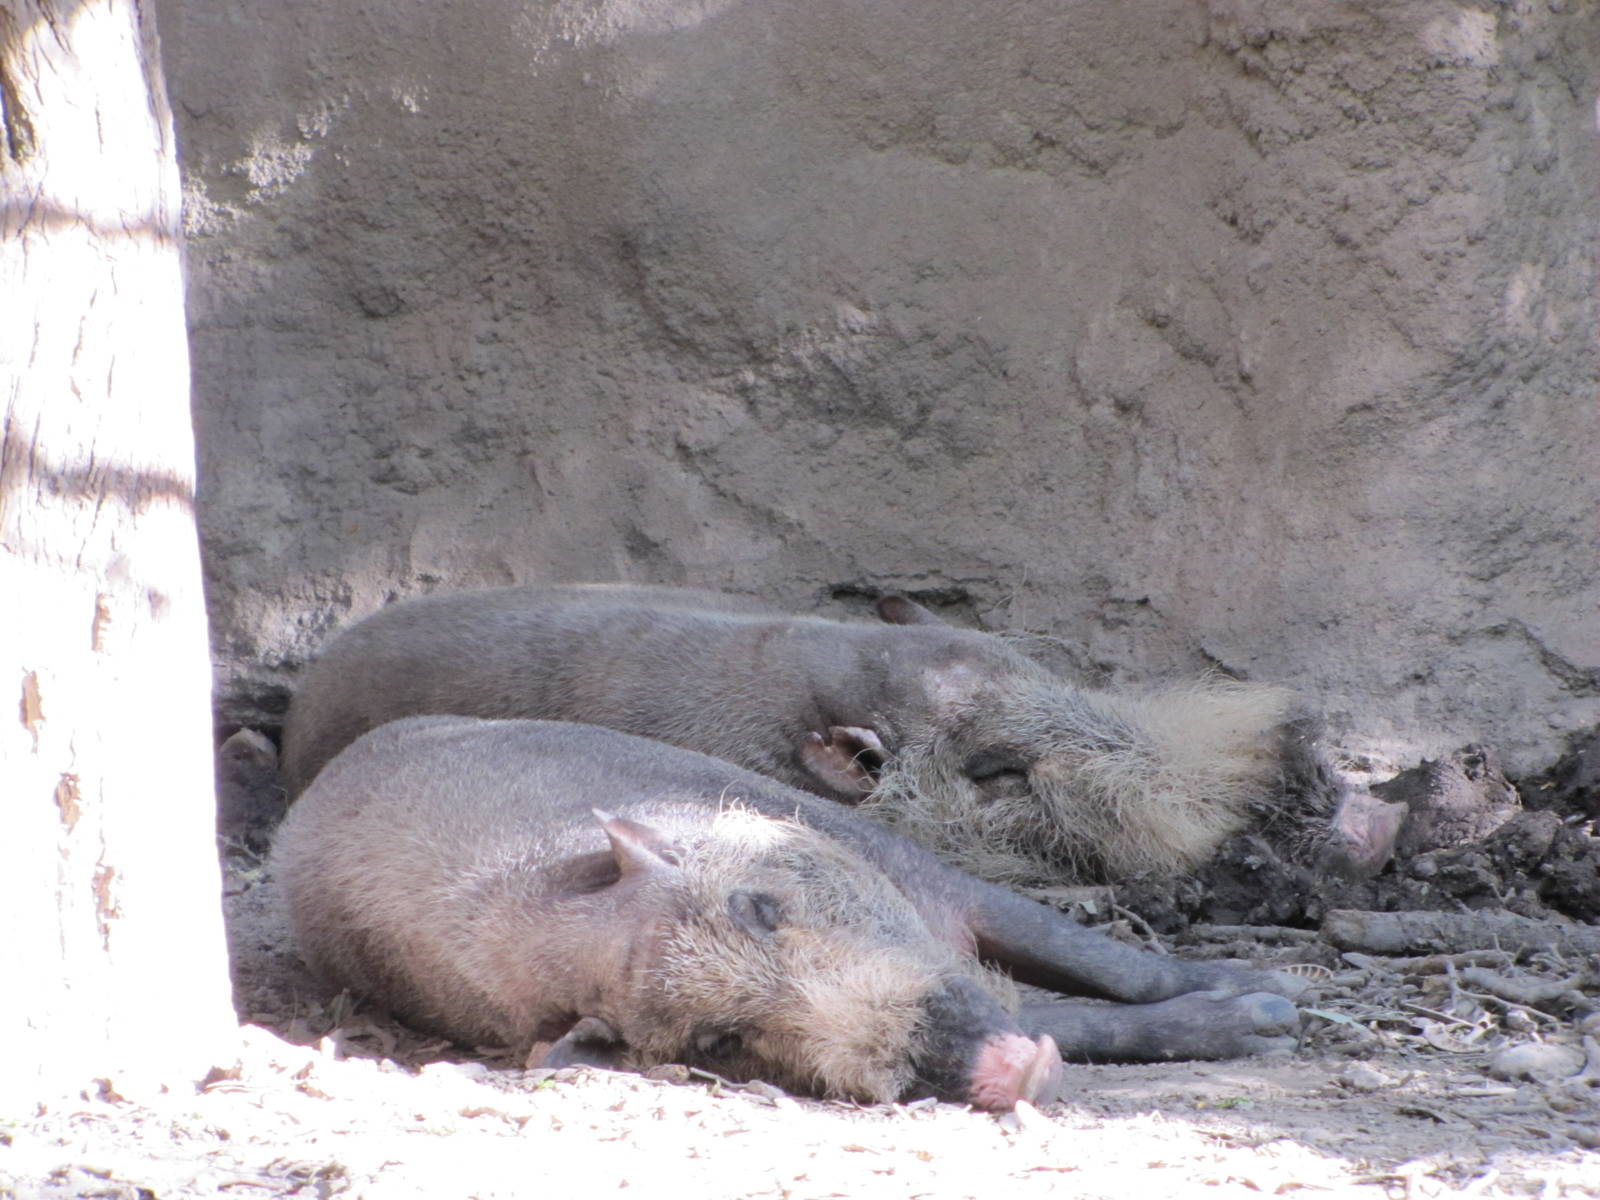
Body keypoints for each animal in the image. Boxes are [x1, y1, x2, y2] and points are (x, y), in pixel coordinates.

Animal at [272, 716, 1302, 1108]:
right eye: (721, 1041)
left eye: (763, 907)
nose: (1004, 1071)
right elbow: (1073, 1018)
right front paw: (1262, 1022)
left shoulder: (920, 870)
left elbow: (1100, 963)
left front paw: (1270, 1005)